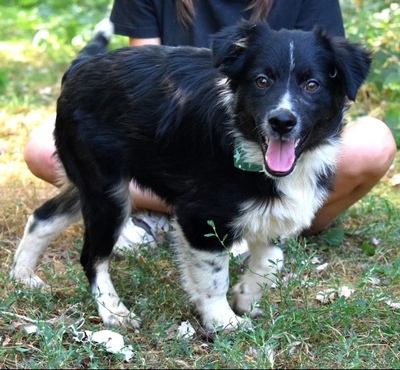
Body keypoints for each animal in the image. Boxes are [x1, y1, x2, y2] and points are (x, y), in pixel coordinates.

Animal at [10, 19, 370, 332]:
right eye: (262, 81)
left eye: (312, 85)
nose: (282, 121)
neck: (248, 146)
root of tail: (81, 66)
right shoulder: (199, 218)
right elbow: (213, 278)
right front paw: (223, 322)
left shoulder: (272, 211)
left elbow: (272, 259)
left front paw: (246, 296)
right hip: (107, 192)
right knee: (92, 257)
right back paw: (113, 311)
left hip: (88, 182)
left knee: (43, 215)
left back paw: (22, 275)